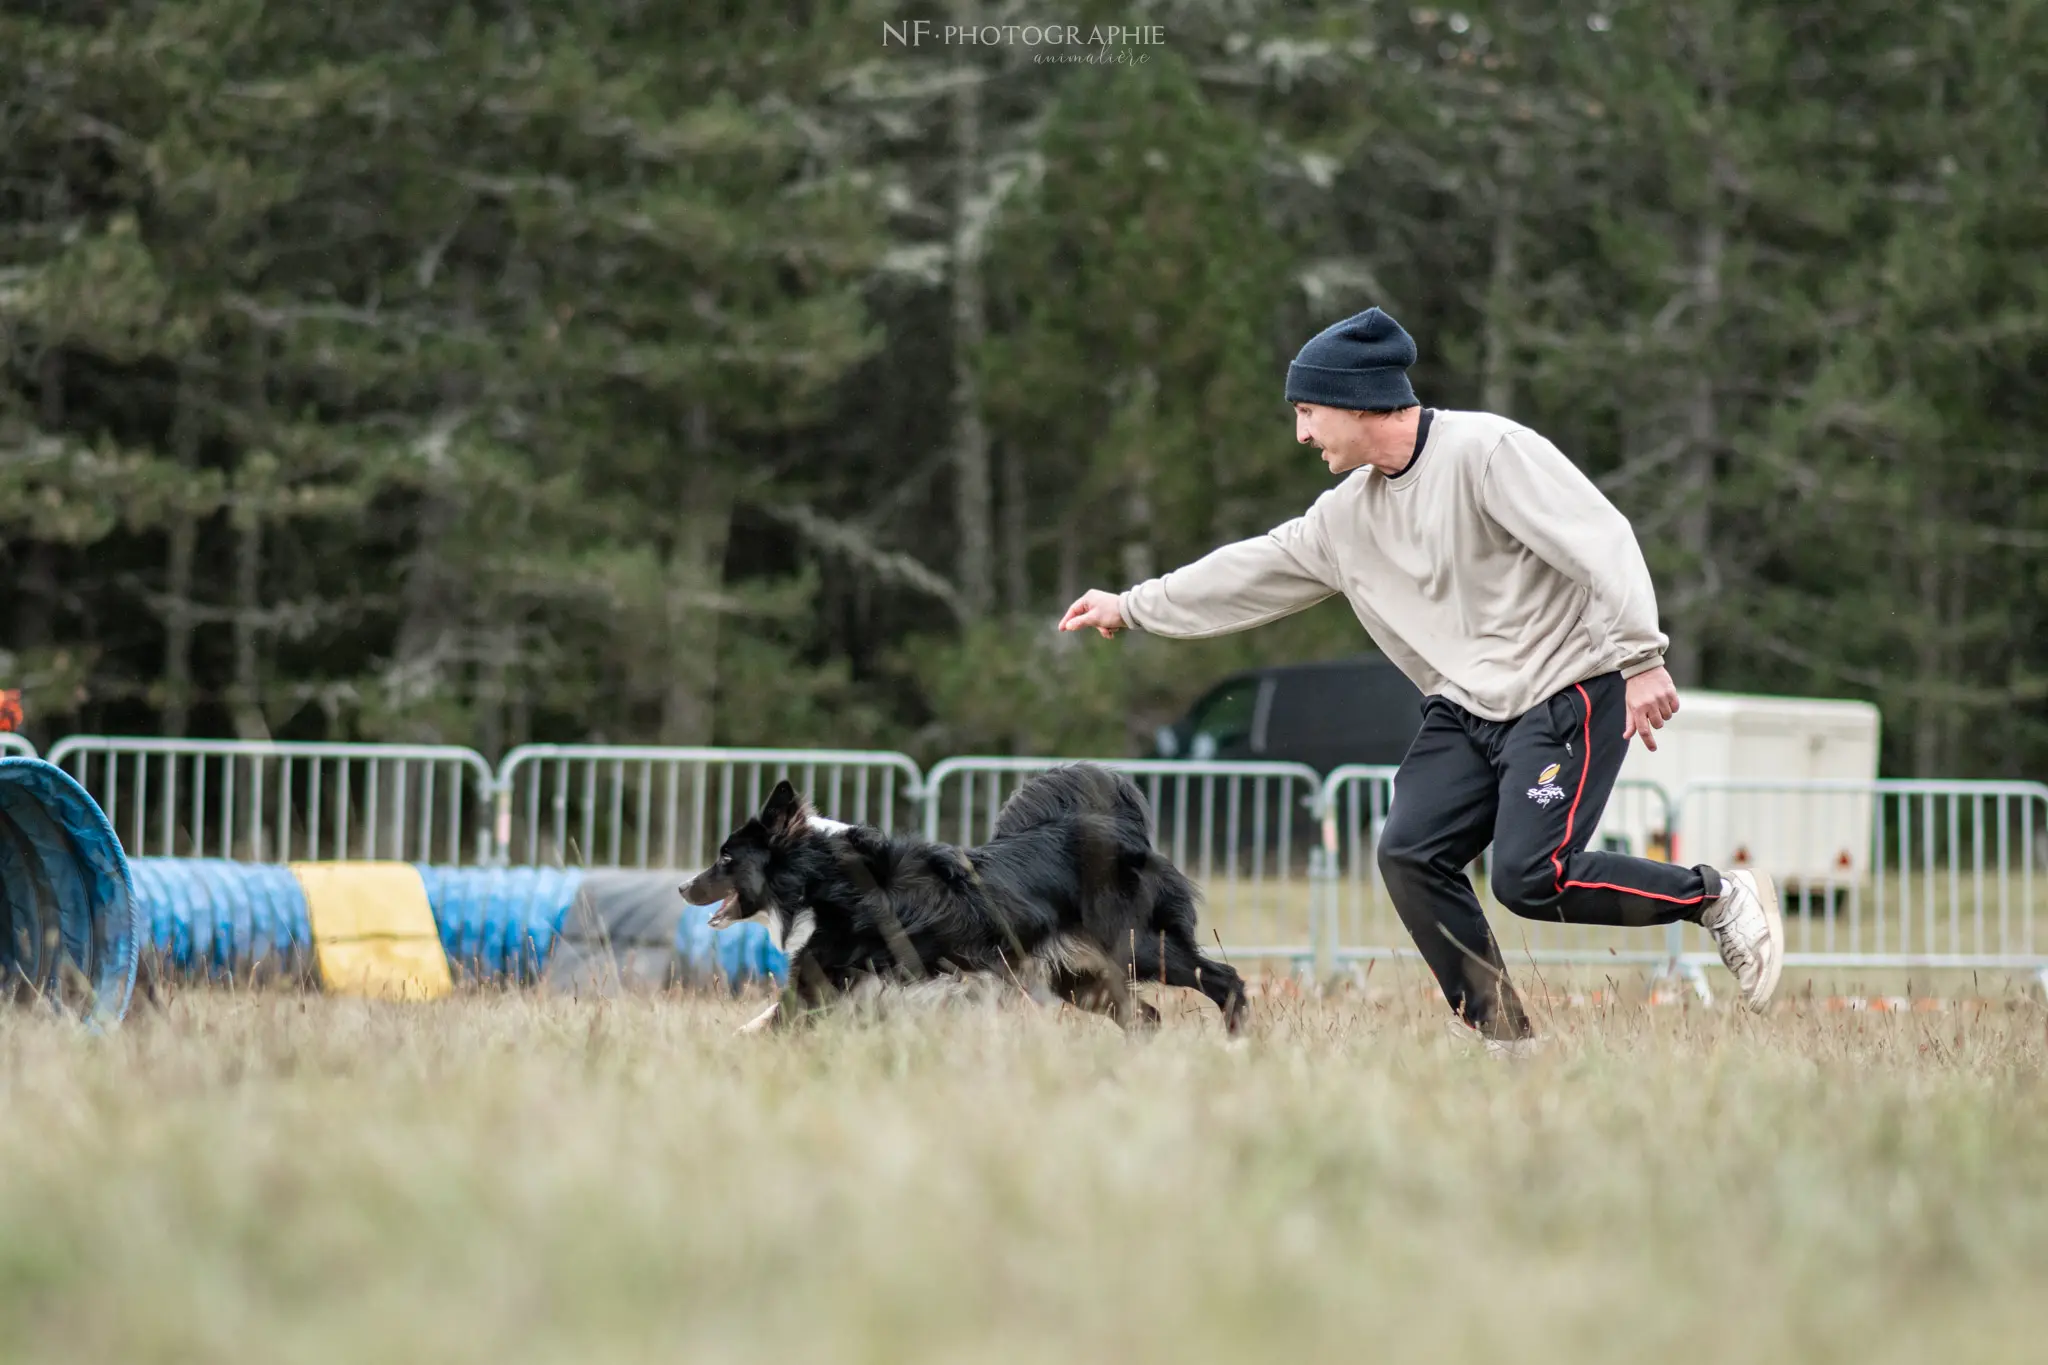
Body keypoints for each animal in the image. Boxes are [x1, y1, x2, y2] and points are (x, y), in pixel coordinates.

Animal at [679, 769, 1236, 1035]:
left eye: (725, 858)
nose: (683, 888)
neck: (819, 877)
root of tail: (1123, 832)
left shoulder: (824, 973)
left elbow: (774, 1018)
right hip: (1074, 976)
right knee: (1145, 1017)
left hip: (1138, 945)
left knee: (1224, 979)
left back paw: (1237, 1040)